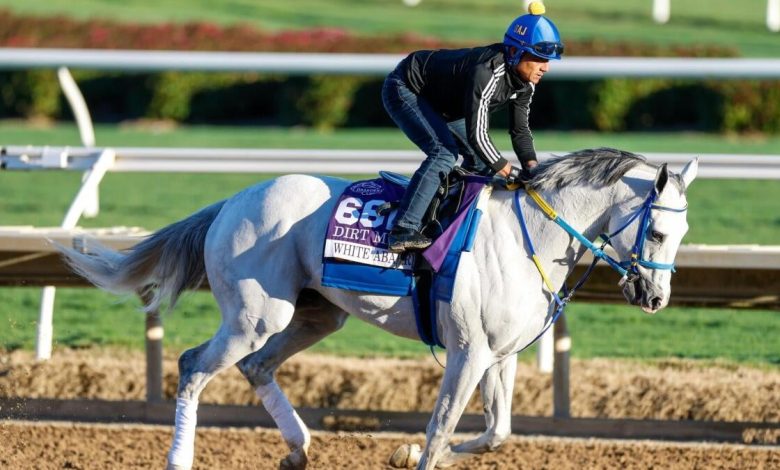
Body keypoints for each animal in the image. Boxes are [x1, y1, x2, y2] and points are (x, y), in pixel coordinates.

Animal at [60, 148, 698, 470]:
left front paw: (404, 450)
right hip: (255, 316)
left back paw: (299, 451)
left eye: (684, 233)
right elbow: (441, 429)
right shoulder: (467, 352)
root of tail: (233, 199)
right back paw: (181, 459)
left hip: (314, 313)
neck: (531, 235)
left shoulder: (501, 355)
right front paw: (415, 450)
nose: (656, 298)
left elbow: (497, 433)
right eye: (659, 232)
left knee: (256, 366)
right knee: (195, 365)